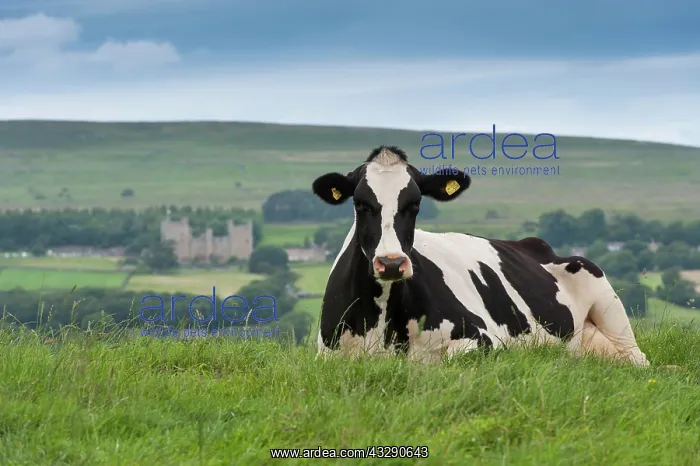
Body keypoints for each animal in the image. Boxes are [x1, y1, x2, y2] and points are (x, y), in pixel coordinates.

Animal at [310, 145, 649, 366]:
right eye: (361, 203)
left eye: (415, 203)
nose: (392, 263)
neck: (381, 320)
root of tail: (534, 244)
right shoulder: (326, 355)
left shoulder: (483, 338)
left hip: (608, 305)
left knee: (637, 358)